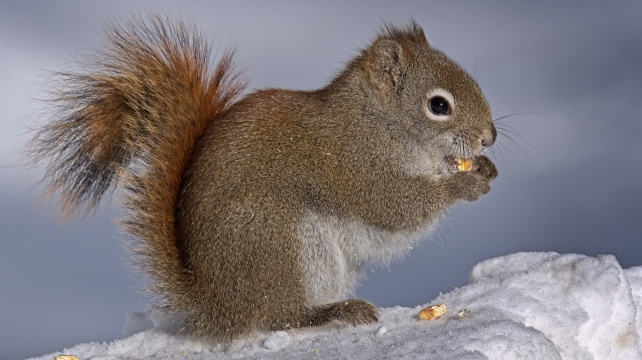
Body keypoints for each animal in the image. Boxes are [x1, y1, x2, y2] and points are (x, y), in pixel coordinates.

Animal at [30, 14, 498, 340]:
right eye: (438, 105)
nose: (489, 137)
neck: (377, 121)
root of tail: (217, 304)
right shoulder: (352, 164)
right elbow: (395, 208)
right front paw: (465, 183)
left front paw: (485, 169)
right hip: (280, 240)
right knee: (277, 317)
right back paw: (330, 313)